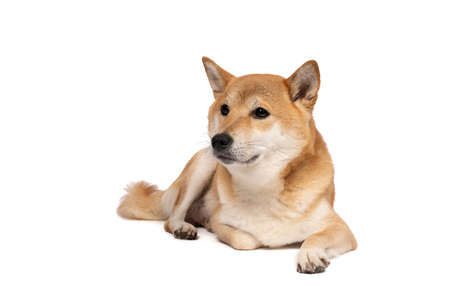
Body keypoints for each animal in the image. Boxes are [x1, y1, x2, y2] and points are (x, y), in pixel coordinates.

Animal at [118, 56, 356, 274]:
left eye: (260, 112)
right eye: (225, 109)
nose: (218, 140)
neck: (263, 186)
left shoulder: (342, 230)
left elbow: (314, 238)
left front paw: (309, 254)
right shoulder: (221, 220)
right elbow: (247, 240)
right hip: (203, 164)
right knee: (171, 218)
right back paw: (184, 227)